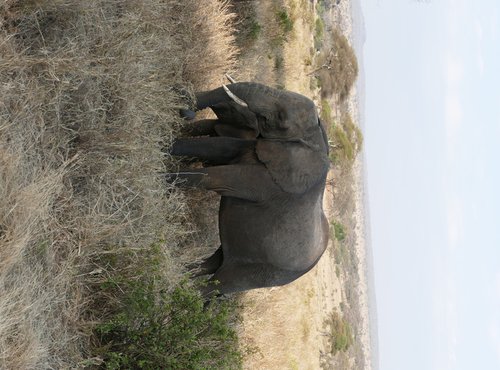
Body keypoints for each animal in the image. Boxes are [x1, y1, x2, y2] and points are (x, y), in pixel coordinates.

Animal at [170, 82, 330, 296]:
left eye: (281, 118)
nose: (186, 111)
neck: (317, 142)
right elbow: (220, 147)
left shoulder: (272, 182)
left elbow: (217, 177)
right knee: (216, 261)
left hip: (266, 273)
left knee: (221, 282)